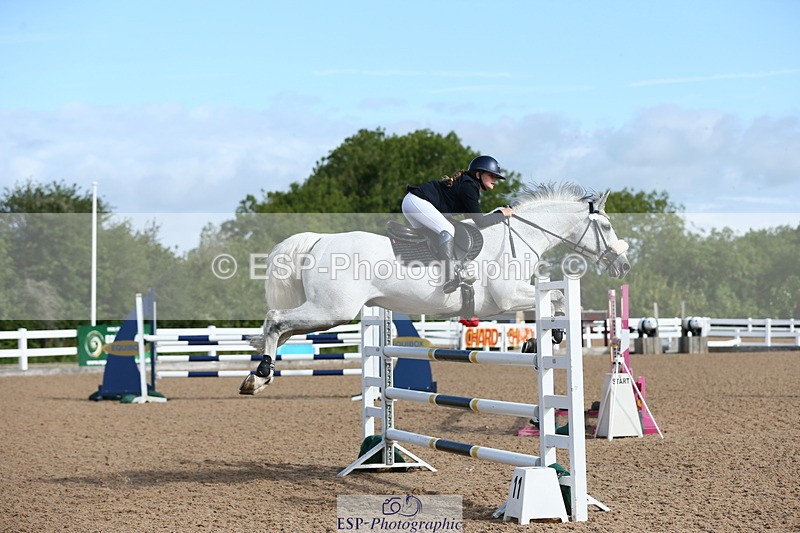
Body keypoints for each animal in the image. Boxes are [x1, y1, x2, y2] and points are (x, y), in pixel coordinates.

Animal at [240, 182, 631, 395]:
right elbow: (559, 296)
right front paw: (549, 337)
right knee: (276, 319)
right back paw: (261, 372)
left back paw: (256, 377)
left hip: (325, 314)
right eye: (606, 226)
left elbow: (553, 300)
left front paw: (542, 339)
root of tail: (318, 240)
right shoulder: (506, 297)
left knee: (280, 330)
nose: (623, 265)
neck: (522, 236)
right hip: (332, 311)